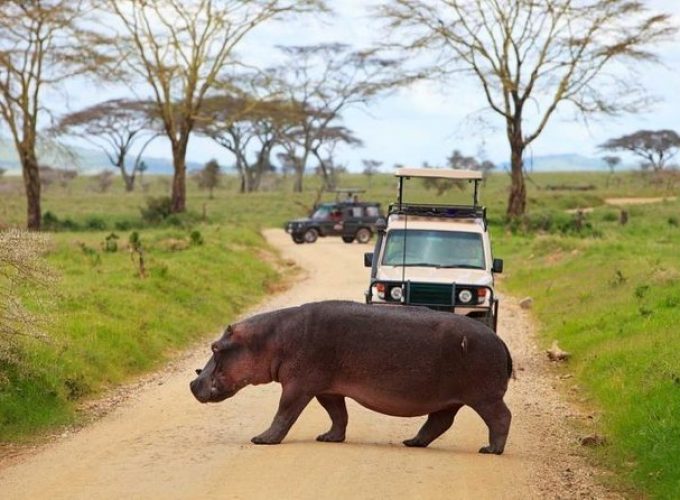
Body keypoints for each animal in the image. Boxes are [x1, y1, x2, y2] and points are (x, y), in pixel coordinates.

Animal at [189, 298, 512, 456]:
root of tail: (501, 342)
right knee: (439, 422)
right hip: (450, 399)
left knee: (501, 417)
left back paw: (491, 450)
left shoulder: (298, 386)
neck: (269, 339)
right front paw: (328, 438)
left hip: (484, 396)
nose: (192, 383)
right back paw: (411, 442)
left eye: (215, 347)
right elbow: (338, 414)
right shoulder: (327, 389)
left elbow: (284, 412)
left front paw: (261, 440)